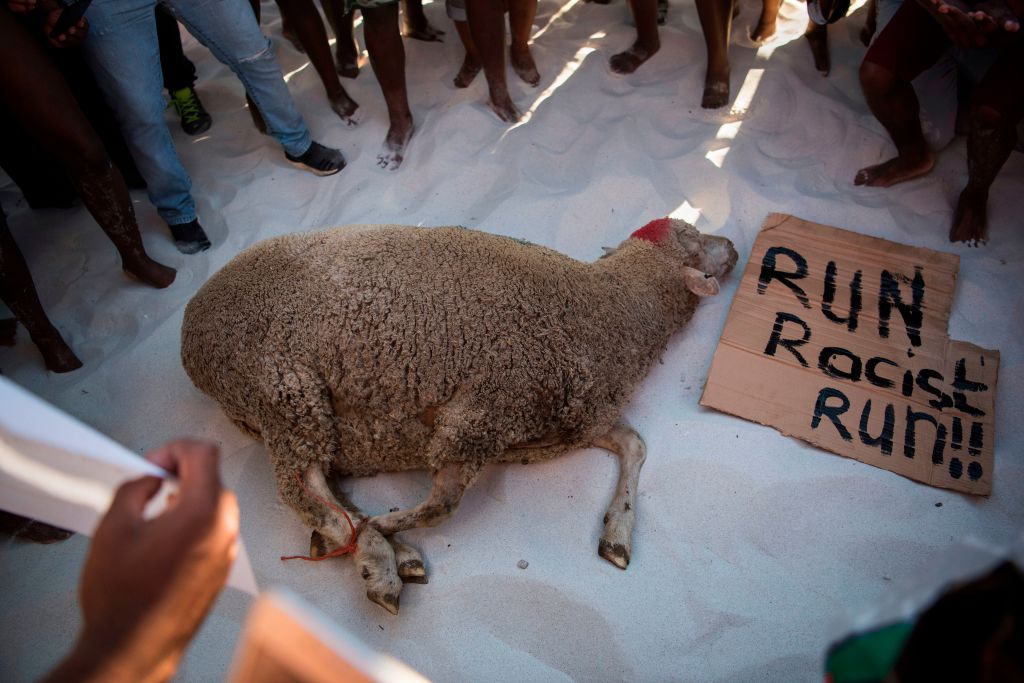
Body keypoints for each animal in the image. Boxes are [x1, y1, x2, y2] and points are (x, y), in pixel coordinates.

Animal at [178, 219, 737, 614]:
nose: (732, 244)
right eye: (693, 241)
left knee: (320, 486)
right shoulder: (486, 409)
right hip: (283, 386)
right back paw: (378, 559)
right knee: (300, 487)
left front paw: (618, 533)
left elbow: (635, 445)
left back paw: (378, 548)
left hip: (296, 412)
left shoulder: (572, 423)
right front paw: (383, 529)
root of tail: (189, 328)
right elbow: (442, 504)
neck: (607, 309)